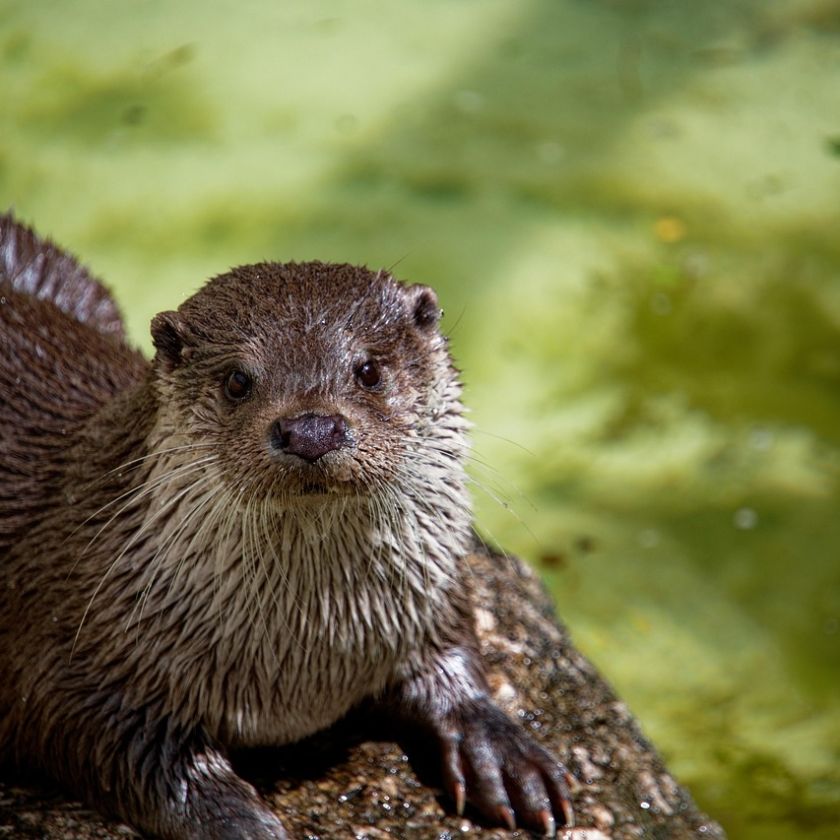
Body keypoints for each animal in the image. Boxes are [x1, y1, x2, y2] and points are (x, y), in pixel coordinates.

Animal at [0, 213, 574, 839]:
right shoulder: (73, 651)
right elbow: (124, 749)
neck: (303, 664)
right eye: (236, 381)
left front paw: (500, 750)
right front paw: (244, 822)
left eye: (368, 370)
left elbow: (454, 650)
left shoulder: (429, 594)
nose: (311, 430)